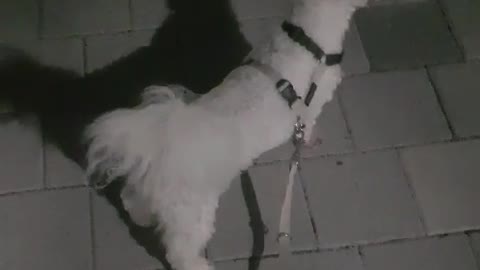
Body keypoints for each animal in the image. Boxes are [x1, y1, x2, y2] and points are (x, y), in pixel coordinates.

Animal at [85, 0, 368, 270]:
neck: (306, 38)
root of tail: (167, 138)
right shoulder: (313, 102)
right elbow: (308, 124)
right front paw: (308, 141)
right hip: (193, 213)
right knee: (180, 252)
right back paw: (198, 265)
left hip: (155, 190)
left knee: (132, 200)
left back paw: (142, 217)